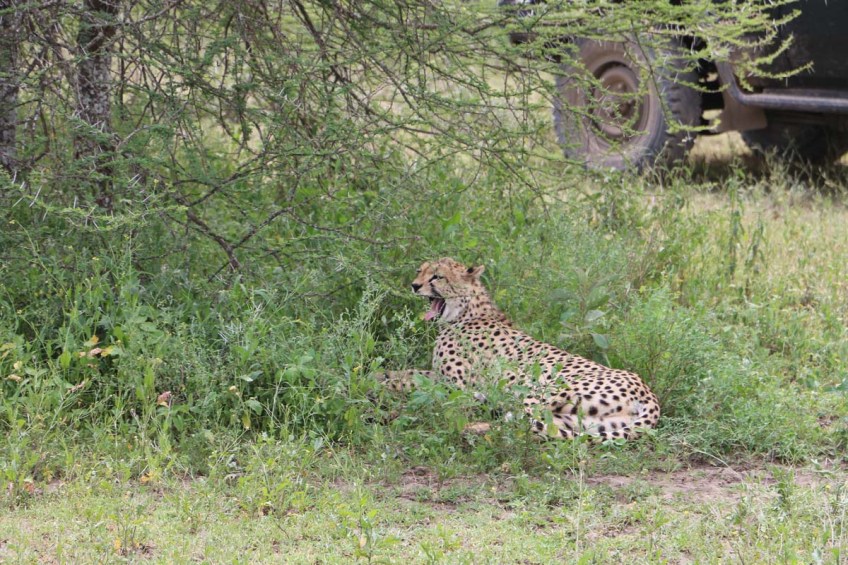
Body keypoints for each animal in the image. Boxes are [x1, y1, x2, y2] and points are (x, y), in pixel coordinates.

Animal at [382, 258, 660, 441]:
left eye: (437, 276)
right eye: (419, 271)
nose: (414, 285)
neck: (465, 312)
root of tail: (646, 389)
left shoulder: (456, 386)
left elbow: (409, 384)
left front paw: (385, 387)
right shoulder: (439, 376)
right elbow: (405, 373)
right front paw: (378, 376)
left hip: (538, 389)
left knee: (519, 424)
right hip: (587, 421)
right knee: (545, 429)